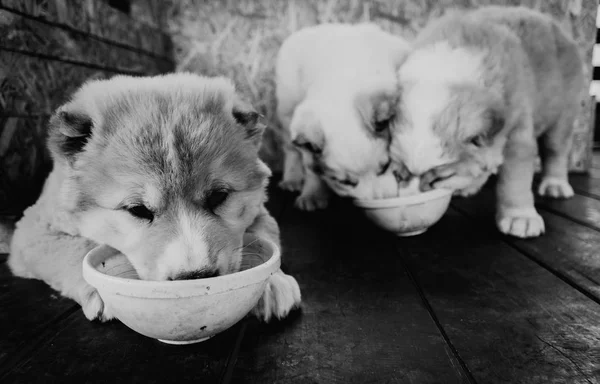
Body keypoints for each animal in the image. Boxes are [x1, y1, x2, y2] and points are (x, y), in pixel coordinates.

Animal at [8, 73, 300, 322]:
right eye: (138, 209)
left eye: (219, 196)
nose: (196, 277)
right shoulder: (33, 229)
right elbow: (73, 249)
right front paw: (99, 289)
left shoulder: (259, 210)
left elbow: (265, 235)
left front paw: (272, 283)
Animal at [274, 23, 410, 210]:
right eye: (346, 183)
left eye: (385, 167)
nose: (380, 202)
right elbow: (312, 169)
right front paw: (312, 194)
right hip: (286, 108)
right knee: (290, 149)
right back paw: (292, 179)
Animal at [392, 6, 584, 237]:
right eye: (399, 175)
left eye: (438, 179)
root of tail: (555, 25)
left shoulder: (517, 134)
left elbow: (515, 181)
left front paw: (520, 217)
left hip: (563, 114)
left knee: (555, 151)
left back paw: (555, 185)